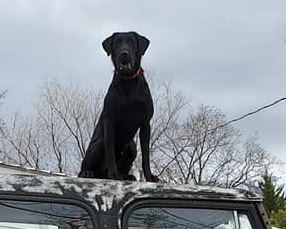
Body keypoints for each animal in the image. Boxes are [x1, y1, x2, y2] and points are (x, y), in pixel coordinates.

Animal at [78, 31, 159, 182]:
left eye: (132, 41)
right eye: (116, 42)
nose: (124, 53)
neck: (128, 82)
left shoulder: (146, 123)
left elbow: (146, 155)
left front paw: (149, 176)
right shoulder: (110, 120)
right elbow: (110, 150)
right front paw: (114, 174)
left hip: (132, 146)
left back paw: (126, 175)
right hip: (98, 144)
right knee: (85, 166)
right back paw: (88, 173)